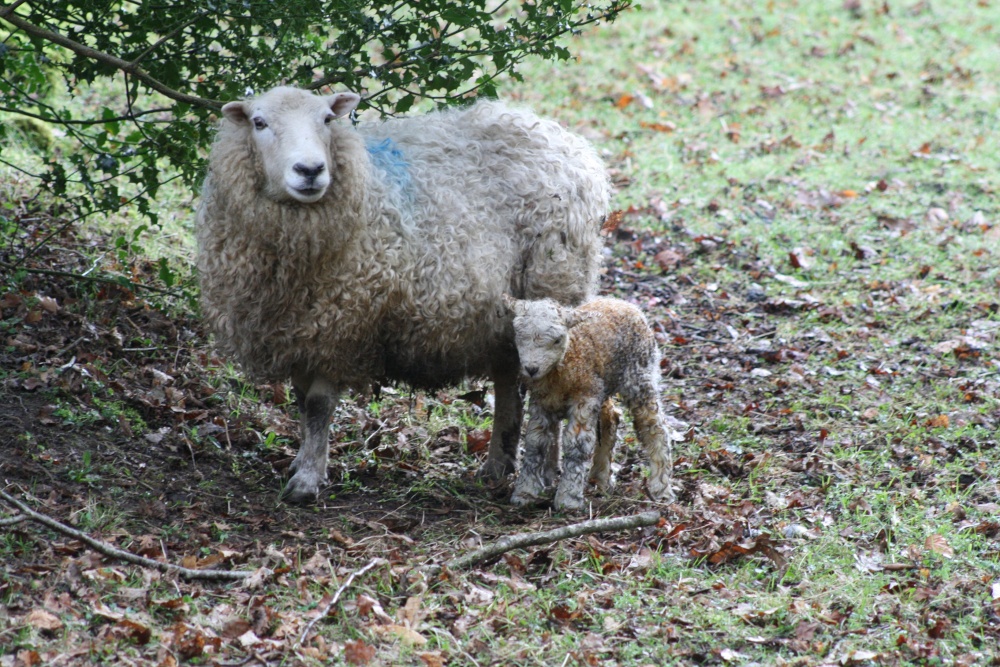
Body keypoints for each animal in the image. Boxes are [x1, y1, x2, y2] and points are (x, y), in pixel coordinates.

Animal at [195, 86, 610, 503]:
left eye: (327, 119)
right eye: (259, 122)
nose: (310, 170)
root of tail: (567, 141)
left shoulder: (344, 324)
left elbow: (317, 405)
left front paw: (306, 481)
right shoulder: (299, 331)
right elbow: (301, 401)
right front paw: (303, 462)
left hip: (554, 287)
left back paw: (545, 472)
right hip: (508, 317)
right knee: (509, 379)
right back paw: (498, 465)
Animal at [503, 296, 674, 511]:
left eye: (557, 339)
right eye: (519, 336)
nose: (531, 368)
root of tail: (622, 303)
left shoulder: (583, 399)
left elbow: (577, 444)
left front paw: (568, 498)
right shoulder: (542, 402)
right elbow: (536, 442)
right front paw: (525, 492)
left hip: (638, 376)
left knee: (654, 427)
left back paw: (661, 488)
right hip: (601, 385)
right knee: (611, 418)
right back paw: (600, 479)